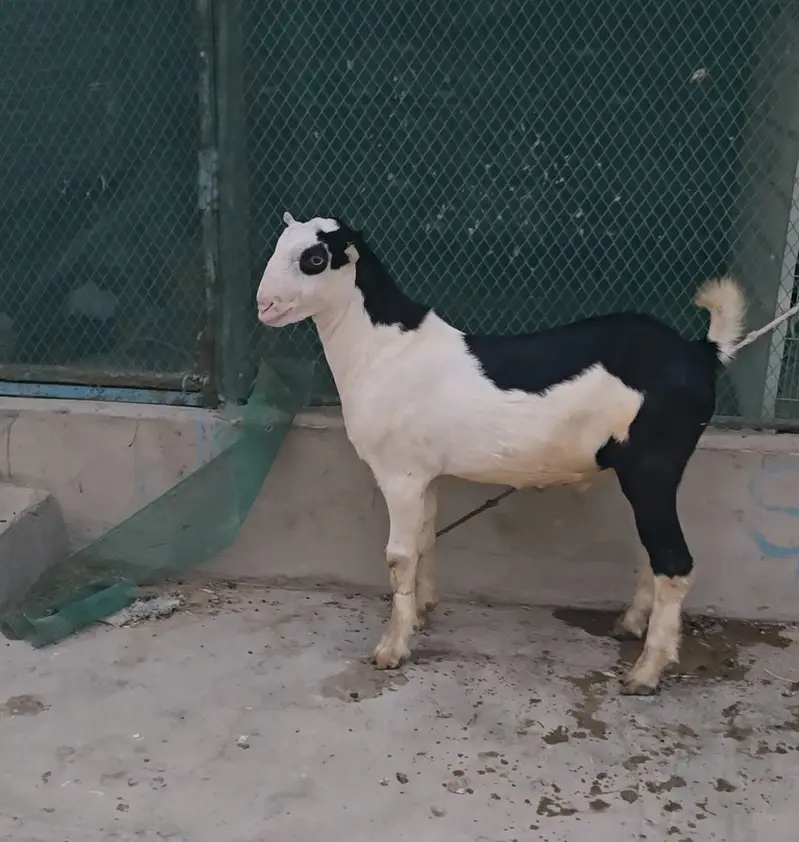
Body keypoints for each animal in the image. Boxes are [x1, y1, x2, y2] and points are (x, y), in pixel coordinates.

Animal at [256, 212, 747, 695]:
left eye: (315, 258)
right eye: (280, 245)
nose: (264, 305)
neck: (385, 349)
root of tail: (702, 353)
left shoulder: (400, 473)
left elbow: (399, 555)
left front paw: (392, 648)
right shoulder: (426, 475)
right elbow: (425, 537)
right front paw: (422, 612)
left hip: (652, 467)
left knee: (675, 562)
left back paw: (646, 673)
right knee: (654, 551)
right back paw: (629, 626)